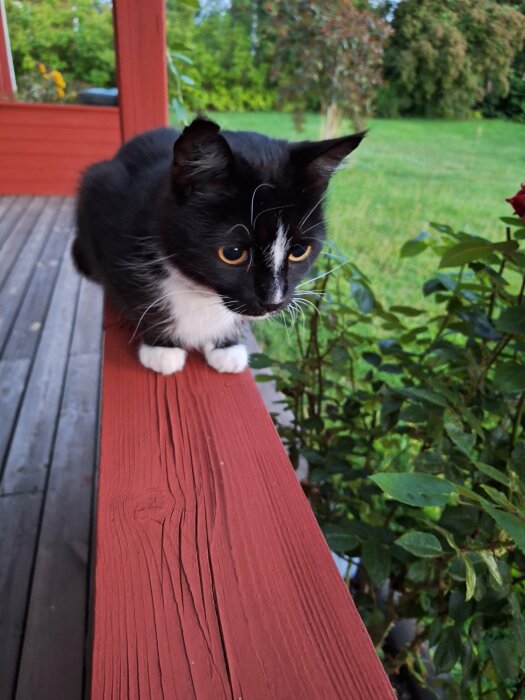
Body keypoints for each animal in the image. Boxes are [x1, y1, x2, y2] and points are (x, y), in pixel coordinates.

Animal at [71, 117, 362, 374]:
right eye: (233, 253)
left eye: (299, 251)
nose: (273, 302)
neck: (202, 292)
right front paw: (162, 347)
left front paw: (226, 345)